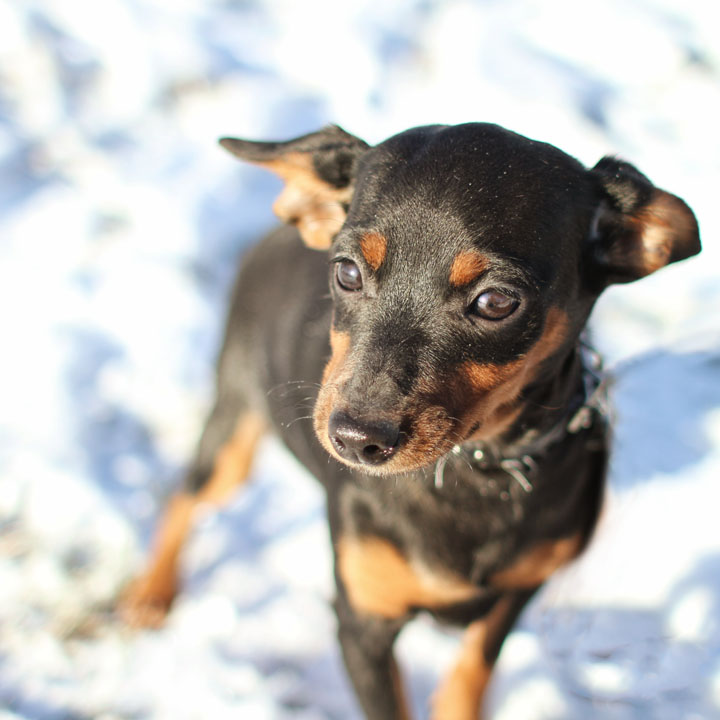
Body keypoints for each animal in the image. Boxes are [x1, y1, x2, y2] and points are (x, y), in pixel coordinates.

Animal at [121, 125, 700, 720]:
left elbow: (472, 669)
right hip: (234, 419)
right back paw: (150, 595)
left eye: (497, 301)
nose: (355, 439)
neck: (476, 468)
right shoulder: (362, 623)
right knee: (187, 495)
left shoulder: (516, 594)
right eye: (346, 271)